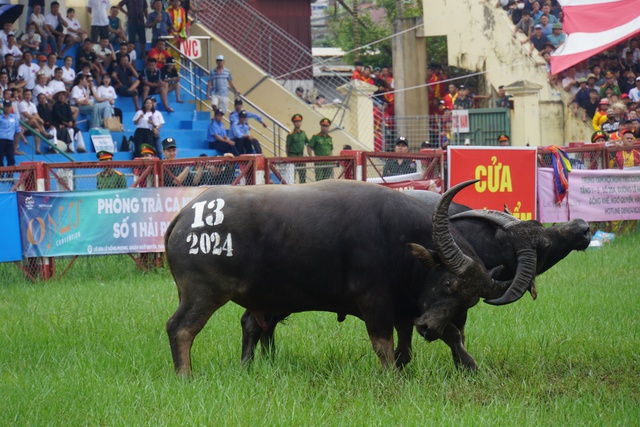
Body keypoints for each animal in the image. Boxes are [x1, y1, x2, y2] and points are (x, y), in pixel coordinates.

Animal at [165, 181, 536, 378]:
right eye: (448, 284)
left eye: (468, 301)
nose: (428, 329)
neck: (397, 241)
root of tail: (185, 214)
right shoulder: (377, 303)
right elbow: (384, 345)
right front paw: (392, 378)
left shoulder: (411, 309)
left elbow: (436, 340)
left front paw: (468, 364)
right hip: (202, 293)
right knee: (181, 329)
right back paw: (185, 375)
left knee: (248, 326)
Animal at [240, 191, 592, 372]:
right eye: (543, 244)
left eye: (541, 227)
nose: (583, 227)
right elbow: (449, 335)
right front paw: (465, 366)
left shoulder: (418, 309)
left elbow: (435, 339)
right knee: (253, 323)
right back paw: (250, 366)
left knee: (257, 324)